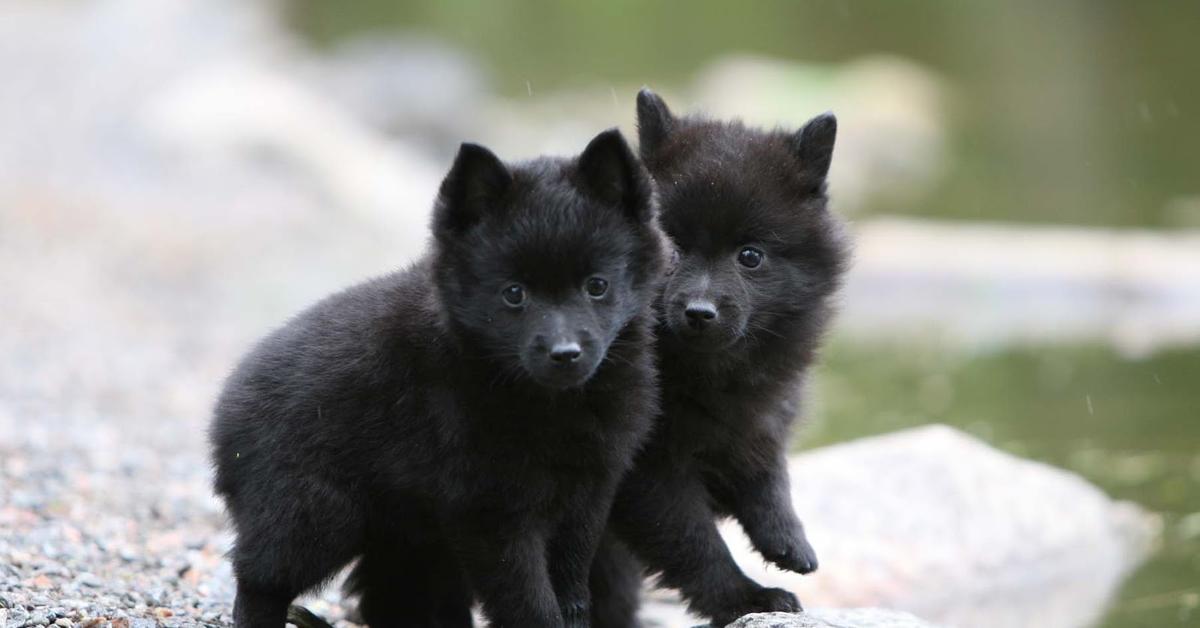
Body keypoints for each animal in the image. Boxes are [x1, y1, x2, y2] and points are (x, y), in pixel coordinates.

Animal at [211, 129, 672, 628]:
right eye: (514, 294)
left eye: (597, 285)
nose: (565, 354)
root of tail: (223, 420)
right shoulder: (492, 513)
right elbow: (528, 598)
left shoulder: (587, 496)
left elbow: (571, 587)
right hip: (315, 513)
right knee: (259, 581)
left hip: (402, 534)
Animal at [590, 89, 854, 628]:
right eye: (672, 245)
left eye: (749, 256)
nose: (699, 311)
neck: (697, 378)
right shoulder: (649, 473)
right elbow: (695, 544)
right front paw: (746, 598)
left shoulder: (762, 415)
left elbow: (768, 475)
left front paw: (787, 539)